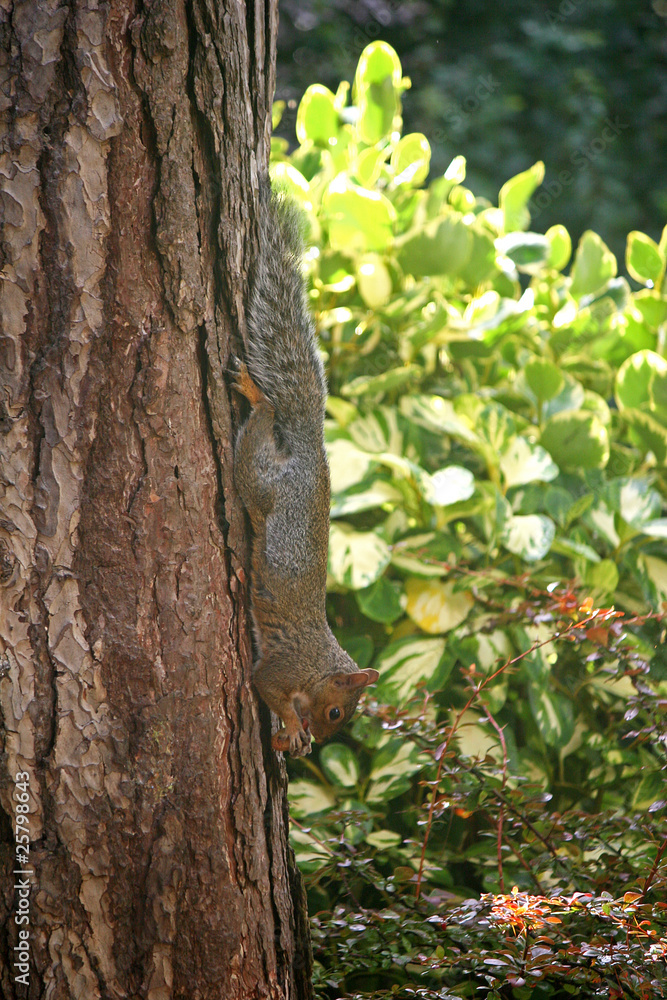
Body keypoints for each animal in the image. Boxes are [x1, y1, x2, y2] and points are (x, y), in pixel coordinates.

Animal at [233, 192, 379, 758]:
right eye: (337, 711)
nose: (320, 737)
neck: (318, 667)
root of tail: (314, 454)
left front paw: (289, 738)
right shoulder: (281, 668)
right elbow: (265, 684)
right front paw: (294, 727)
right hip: (261, 484)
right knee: (262, 426)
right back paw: (256, 395)